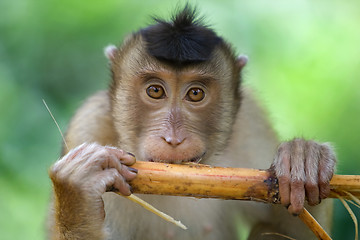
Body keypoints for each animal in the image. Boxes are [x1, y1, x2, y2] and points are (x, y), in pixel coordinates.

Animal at [47, 5, 334, 240]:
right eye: (155, 91)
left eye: (196, 93)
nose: (174, 139)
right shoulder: (88, 125)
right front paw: (77, 190)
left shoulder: (251, 124)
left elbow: (289, 229)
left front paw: (303, 160)